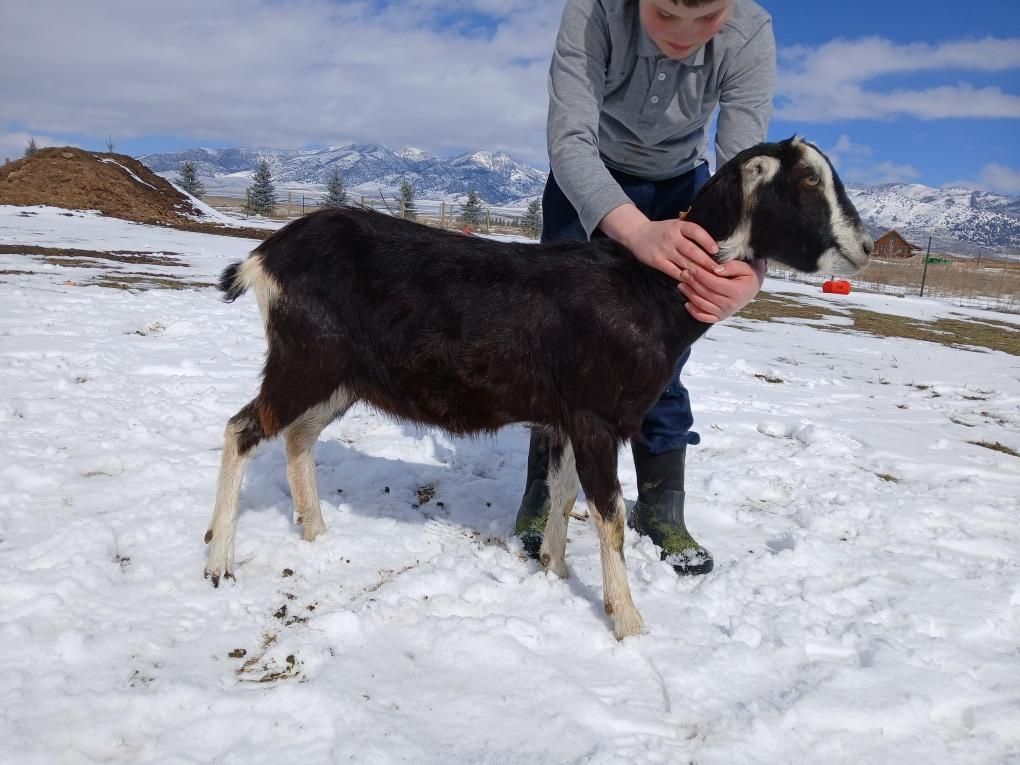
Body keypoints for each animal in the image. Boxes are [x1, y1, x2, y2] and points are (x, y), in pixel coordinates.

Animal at [203, 137, 872, 640]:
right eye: (806, 182)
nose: (864, 247)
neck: (649, 290)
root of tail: (265, 258)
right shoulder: (597, 418)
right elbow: (608, 512)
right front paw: (628, 622)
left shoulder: (571, 416)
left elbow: (565, 491)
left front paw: (553, 569)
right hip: (306, 359)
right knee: (242, 429)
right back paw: (219, 563)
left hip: (339, 377)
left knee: (296, 436)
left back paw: (316, 532)